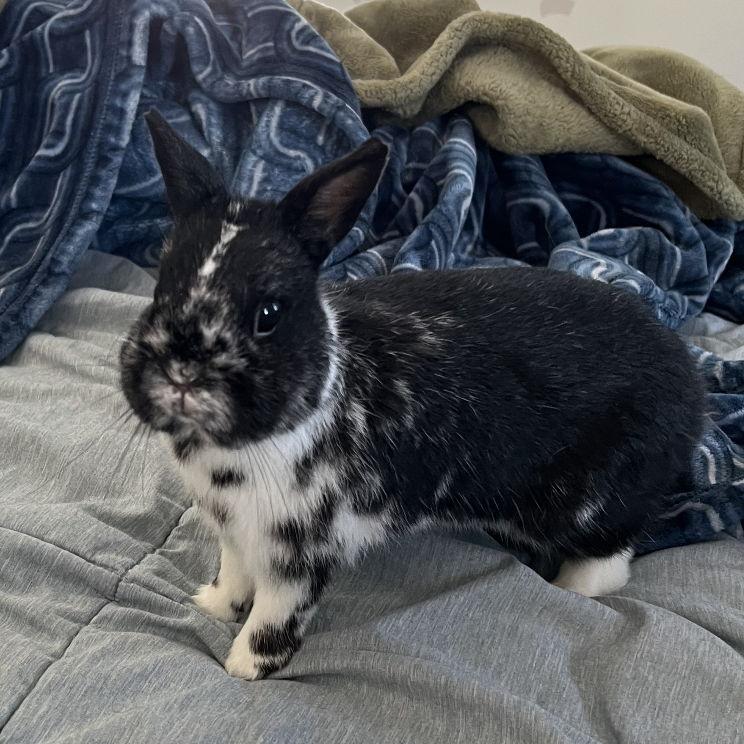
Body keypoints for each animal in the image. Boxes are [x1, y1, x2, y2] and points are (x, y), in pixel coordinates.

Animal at [119, 110, 706, 680]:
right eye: (160, 290)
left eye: (269, 314)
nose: (180, 375)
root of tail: (688, 383)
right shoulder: (236, 534)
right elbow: (234, 574)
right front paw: (211, 605)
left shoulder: (296, 551)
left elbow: (276, 611)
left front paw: (244, 666)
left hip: (592, 505)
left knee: (613, 561)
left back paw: (570, 586)